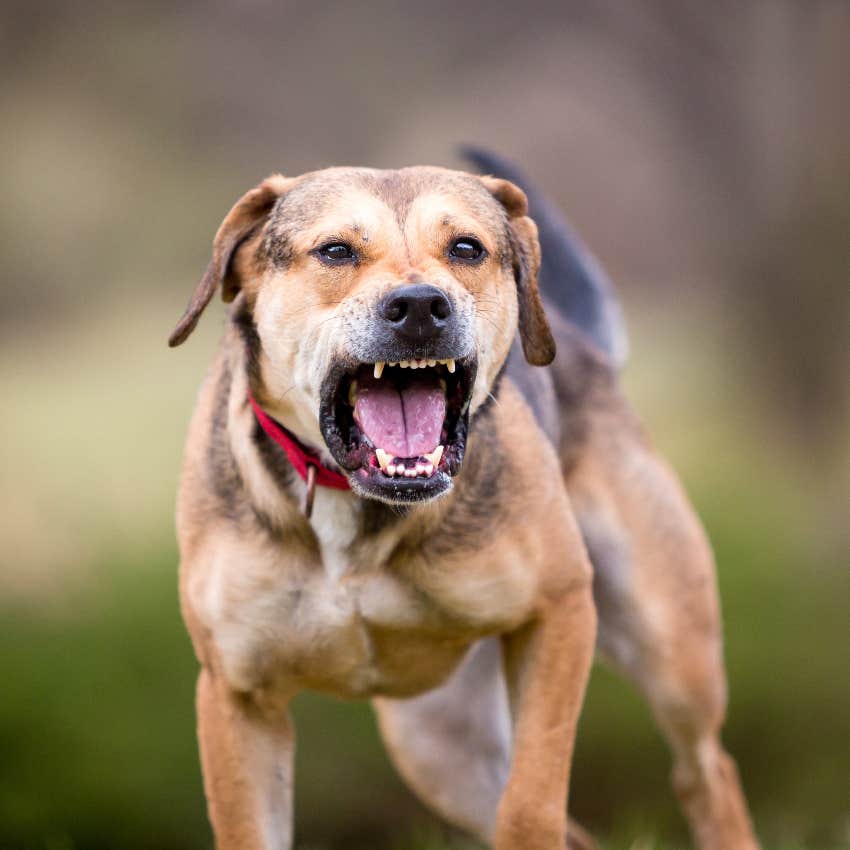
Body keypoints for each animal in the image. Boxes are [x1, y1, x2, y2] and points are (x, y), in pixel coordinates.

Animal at [169, 147, 760, 848]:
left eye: (467, 248)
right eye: (336, 250)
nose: (421, 306)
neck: (357, 506)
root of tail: (588, 350)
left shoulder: (560, 611)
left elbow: (530, 804)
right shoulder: (237, 695)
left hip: (670, 647)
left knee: (706, 771)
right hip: (439, 744)